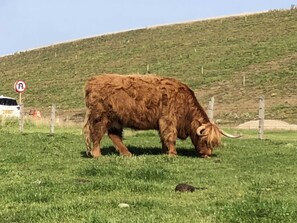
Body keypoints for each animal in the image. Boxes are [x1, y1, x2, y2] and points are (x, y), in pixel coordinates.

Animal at [82, 74, 238, 158]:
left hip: (116, 120)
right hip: (100, 117)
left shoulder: (162, 122)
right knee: (97, 134)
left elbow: (163, 137)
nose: (207, 154)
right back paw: (97, 155)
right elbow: (170, 136)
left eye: (214, 143)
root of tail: (92, 81)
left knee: (114, 135)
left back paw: (127, 153)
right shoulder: (168, 120)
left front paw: (164, 152)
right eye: (205, 140)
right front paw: (172, 153)